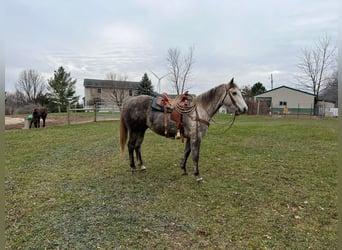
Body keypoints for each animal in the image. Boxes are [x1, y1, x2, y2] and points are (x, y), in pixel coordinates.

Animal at [120, 78, 248, 182]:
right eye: (234, 93)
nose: (245, 108)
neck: (200, 110)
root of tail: (128, 101)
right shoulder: (196, 138)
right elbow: (195, 156)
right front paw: (198, 176)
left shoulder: (189, 138)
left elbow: (187, 152)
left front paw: (184, 170)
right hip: (134, 130)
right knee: (131, 146)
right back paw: (133, 168)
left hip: (141, 130)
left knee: (137, 146)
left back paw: (142, 166)